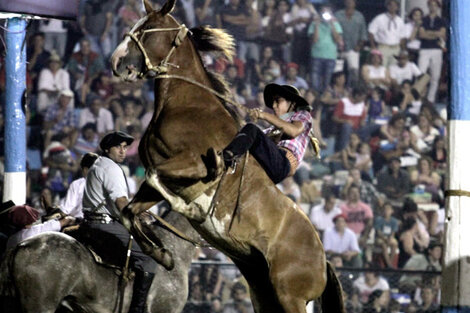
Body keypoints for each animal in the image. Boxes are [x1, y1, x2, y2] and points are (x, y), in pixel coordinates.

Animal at [110, 0, 344, 312]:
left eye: (148, 29)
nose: (116, 62)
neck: (187, 107)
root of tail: (323, 259)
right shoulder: (165, 180)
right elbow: (129, 211)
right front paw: (162, 255)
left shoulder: (189, 166)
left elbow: (155, 176)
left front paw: (191, 210)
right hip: (263, 292)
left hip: (290, 297)